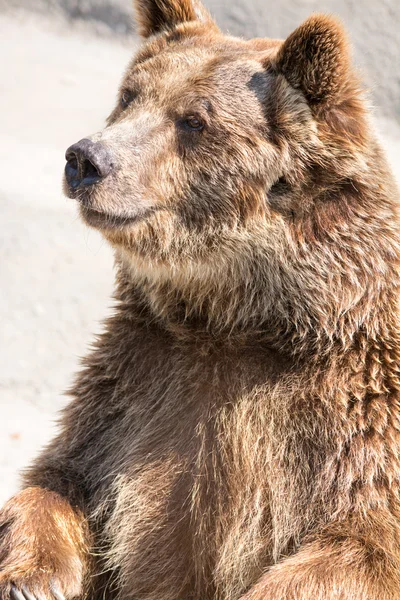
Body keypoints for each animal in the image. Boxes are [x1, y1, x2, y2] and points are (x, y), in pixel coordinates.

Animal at [0, 0, 400, 596]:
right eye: (130, 95)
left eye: (193, 119)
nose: (86, 158)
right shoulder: (136, 390)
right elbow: (63, 478)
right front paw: (35, 576)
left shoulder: (355, 420)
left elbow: (359, 545)